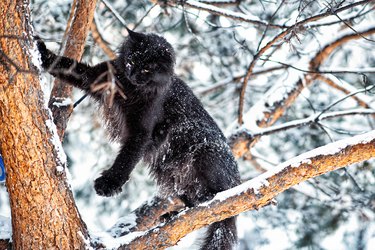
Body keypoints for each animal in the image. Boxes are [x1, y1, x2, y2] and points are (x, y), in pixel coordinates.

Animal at [35, 29, 241, 250]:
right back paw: (171, 215)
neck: (130, 89)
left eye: (147, 69)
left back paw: (207, 198)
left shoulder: (141, 131)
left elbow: (127, 158)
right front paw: (41, 51)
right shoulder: (96, 77)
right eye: (132, 61)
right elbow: (68, 66)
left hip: (204, 152)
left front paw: (109, 183)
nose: (133, 74)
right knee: (192, 202)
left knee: (216, 197)